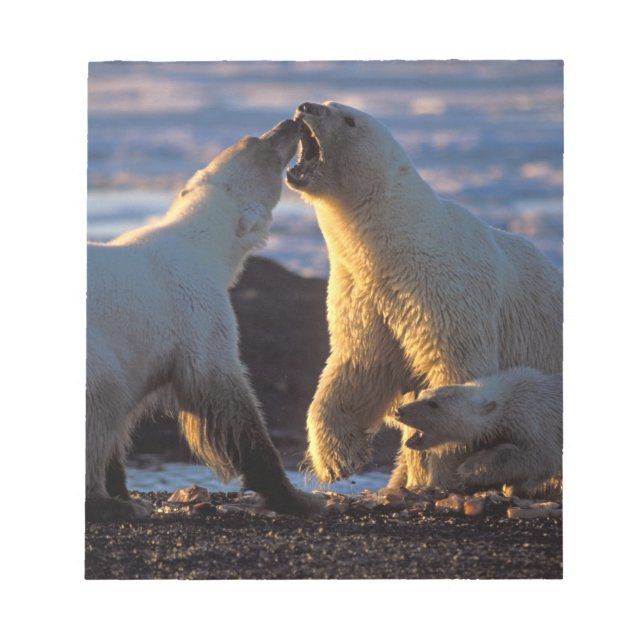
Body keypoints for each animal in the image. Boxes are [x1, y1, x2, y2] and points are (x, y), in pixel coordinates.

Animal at [86, 118, 322, 520]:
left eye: (251, 138)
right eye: (265, 148)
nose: (290, 122)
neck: (201, 244)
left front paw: (122, 488)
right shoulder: (197, 315)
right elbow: (226, 394)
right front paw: (295, 497)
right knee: (102, 396)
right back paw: (109, 506)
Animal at [395, 368, 562, 498]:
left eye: (433, 404)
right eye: (422, 394)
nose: (399, 411)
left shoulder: (534, 421)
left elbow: (541, 458)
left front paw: (469, 471)